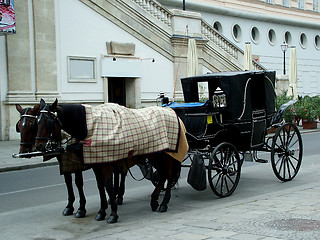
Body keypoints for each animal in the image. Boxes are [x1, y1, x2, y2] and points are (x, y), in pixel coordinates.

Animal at [34, 98, 185, 223]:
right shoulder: (96, 163)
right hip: (155, 155)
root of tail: (171, 112)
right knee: (164, 175)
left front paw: (113, 213)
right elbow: (101, 186)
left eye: (49, 122)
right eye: (37, 122)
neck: (90, 127)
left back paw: (164, 203)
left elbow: (108, 186)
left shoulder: (106, 163)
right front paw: (102, 211)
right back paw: (154, 200)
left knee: (169, 175)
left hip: (165, 155)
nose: (39, 146)